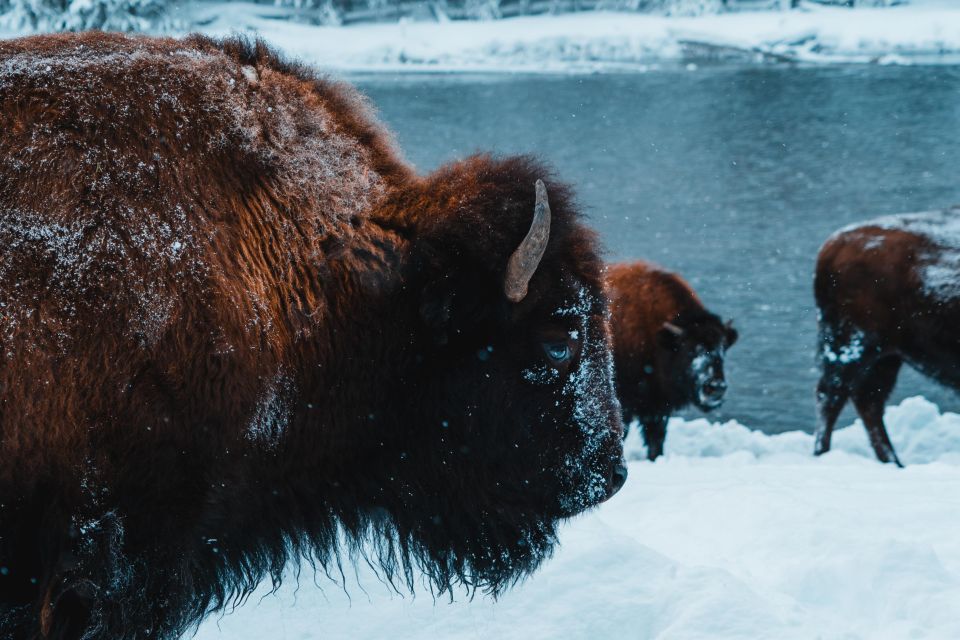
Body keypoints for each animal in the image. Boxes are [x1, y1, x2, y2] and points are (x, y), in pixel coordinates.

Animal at [812, 209, 960, 464]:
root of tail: (835, 243)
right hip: (854, 346)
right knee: (833, 396)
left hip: (886, 356)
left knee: (867, 400)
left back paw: (893, 462)